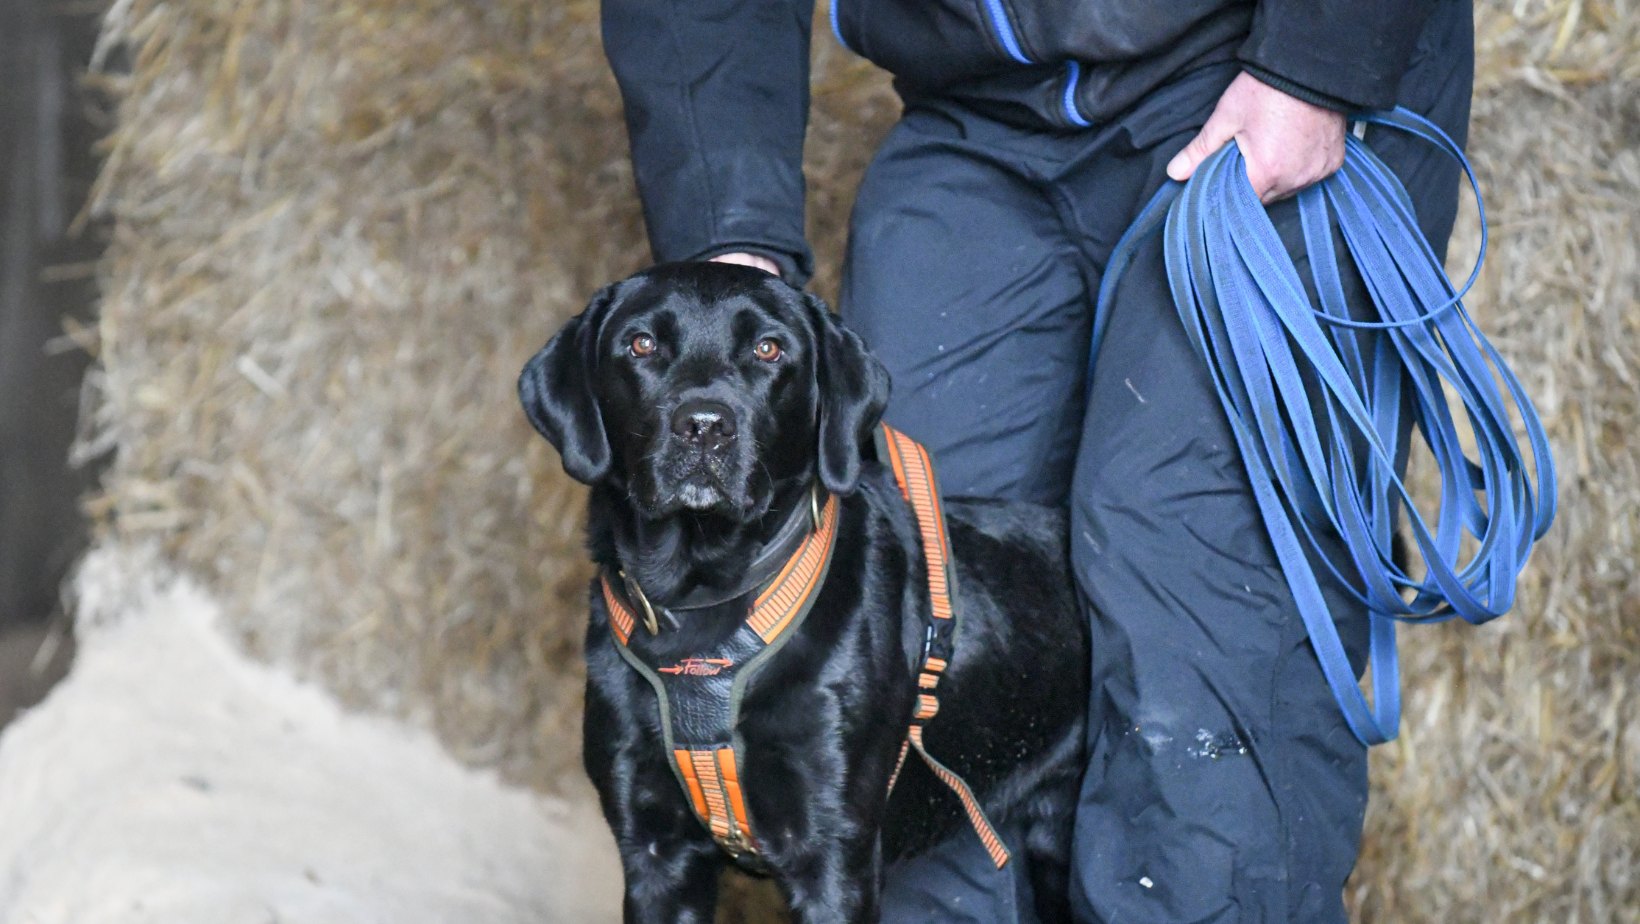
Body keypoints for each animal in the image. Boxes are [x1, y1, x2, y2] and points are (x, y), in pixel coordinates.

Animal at [518, 260, 1088, 924]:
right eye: (641, 344)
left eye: (769, 348)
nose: (704, 427)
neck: (705, 607)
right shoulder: (655, 853)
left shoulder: (833, 856)